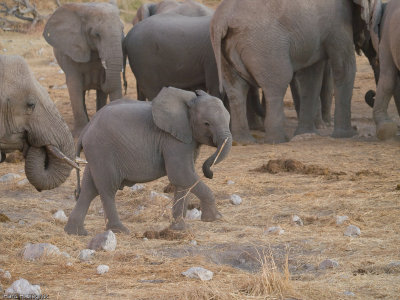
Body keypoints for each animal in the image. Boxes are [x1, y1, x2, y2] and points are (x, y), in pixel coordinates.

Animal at [42, 2, 123, 138]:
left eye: (122, 30)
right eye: (96, 35)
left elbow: (109, 89)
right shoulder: (70, 51)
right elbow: (74, 85)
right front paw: (79, 133)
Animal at [64, 85, 233, 236]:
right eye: (206, 123)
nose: (210, 173)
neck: (189, 100)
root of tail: (86, 129)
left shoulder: (186, 139)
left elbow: (183, 180)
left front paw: (178, 230)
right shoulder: (172, 140)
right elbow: (180, 174)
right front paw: (214, 218)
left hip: (95, 153)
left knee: (89, 188)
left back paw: (75, 232)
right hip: (102, 149)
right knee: (107, 188)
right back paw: (120, 231)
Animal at [211, 0, 374, 144]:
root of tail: (222, 21)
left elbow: (311, 77)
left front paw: (307, 133)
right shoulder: (338, 22)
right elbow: (345, 67)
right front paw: (347, 135)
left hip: (226, 51)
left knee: (236, 90)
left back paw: (243, 141)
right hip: (266, 46)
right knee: (277, 84)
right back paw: (278, 140)